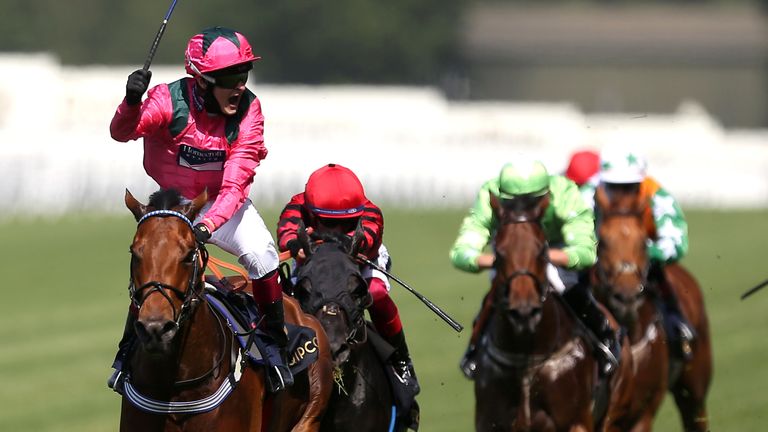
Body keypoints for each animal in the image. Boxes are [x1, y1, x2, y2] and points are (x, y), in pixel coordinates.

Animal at [476, 196, 632, 432]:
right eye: (499, 253)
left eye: (542, 251)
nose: (524, 311)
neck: (527, 359)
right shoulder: (490, 421)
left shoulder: (577, 421)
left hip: (614, 414)